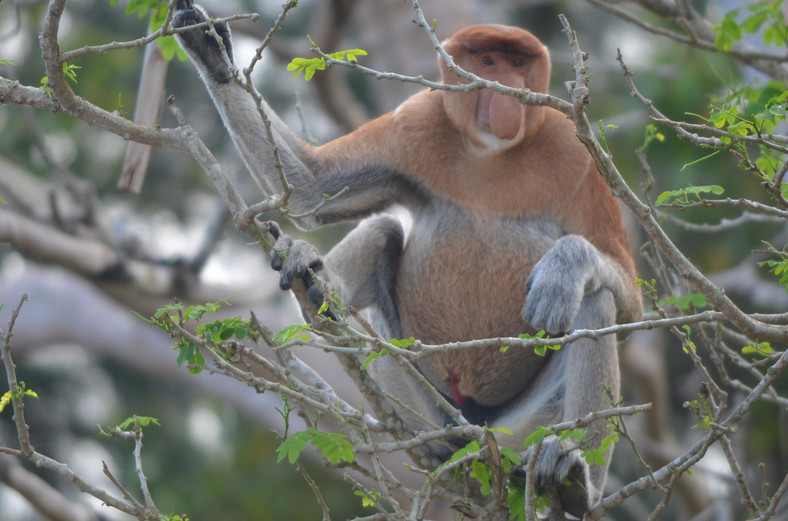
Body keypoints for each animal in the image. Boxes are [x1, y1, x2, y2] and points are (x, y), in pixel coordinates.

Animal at [172, 3, 640, 516]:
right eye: (488, 61)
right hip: (413, 401)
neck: (490, 155)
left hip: (520, 431)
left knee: (596, 302)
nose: (505, 97)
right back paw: (317, 291)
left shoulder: (577, 154)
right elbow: (313, 188)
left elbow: (627, 297)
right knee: (384, 230)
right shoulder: (415, 122)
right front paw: (210, 52)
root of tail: (470, 427)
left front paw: (564, 269)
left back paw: (576, 481)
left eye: (518, 64)